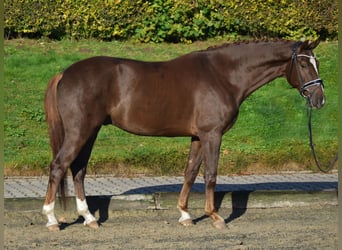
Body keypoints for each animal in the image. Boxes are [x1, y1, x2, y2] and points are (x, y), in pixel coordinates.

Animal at [43, 39, 326, 230]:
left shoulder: (198, 137)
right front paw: (215, 217)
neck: (222, 75)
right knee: (59, 166)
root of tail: (65, 73)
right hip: (80, 131)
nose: (319, 99)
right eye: (303, 63)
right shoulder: (212, 134)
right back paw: (51, 219)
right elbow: (210, 174)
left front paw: (185, 215)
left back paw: (89, 218)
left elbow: (190, 172)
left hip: (90, 132)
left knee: (78, 170)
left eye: (317, 62)